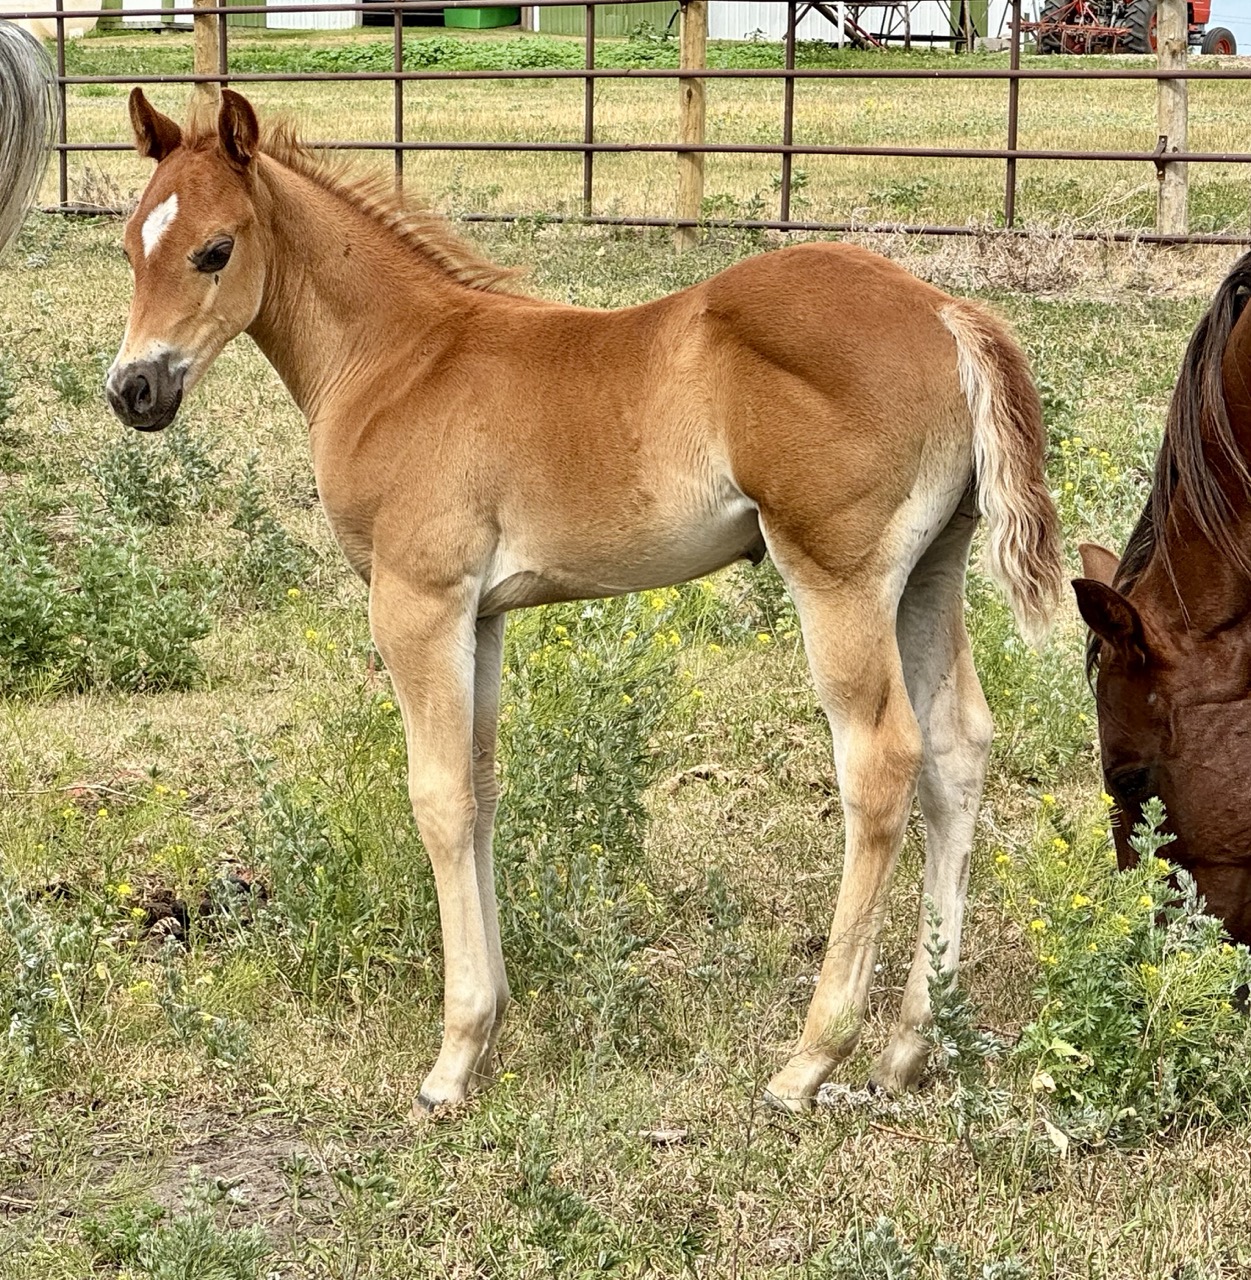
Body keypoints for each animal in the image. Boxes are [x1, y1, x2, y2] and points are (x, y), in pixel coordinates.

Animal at [106, 88, 1063, 1113]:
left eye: (214, 250)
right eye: (129, 245)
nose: (133, 389)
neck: (399, 360)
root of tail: (943, 308)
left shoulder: (418, 600)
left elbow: (437, 797)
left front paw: (453, 1056)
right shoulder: (481, 614)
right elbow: (482, 788)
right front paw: (493, 1018)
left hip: (835, 575)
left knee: (881, 760)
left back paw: (810, 1057)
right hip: (929, 571)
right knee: (957, 748)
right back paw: (911, 1044)